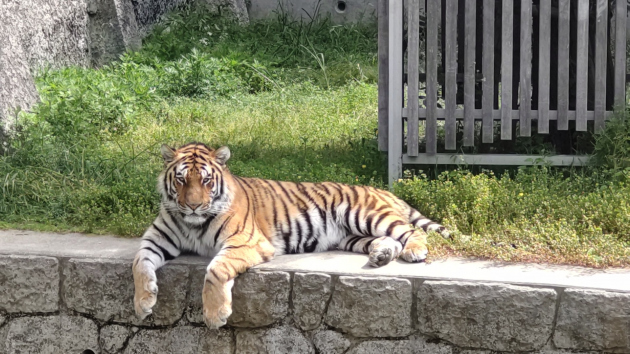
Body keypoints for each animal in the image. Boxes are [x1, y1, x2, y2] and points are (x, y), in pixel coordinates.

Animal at [133, 142, 452, 330]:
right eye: (181, 180)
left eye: (206, 180)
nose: (193, 205)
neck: (192, 223)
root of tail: (385, 191)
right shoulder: (156, 239)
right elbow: (139, 264)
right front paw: (143, 303)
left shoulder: (246, 241)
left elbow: (215, 270)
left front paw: (214, 316)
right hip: (350, 236)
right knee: (389, 241)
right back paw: (380, 256)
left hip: (365, 214)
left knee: (409, 232)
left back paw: (414, 251)